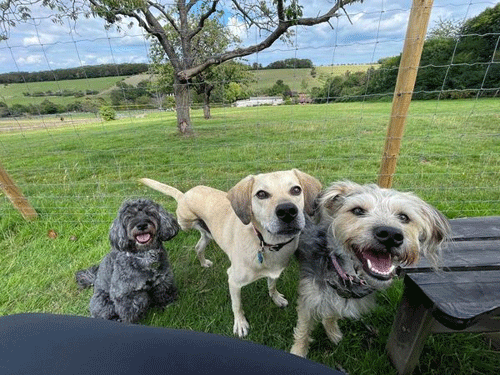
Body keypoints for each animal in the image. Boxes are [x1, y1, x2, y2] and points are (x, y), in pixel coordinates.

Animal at [141, 170, 320, 338]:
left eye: (296, 190)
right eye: (261, 194)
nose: (287, 211)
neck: (266, 242)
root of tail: (184, 195)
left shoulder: (274, 272)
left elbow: (272, 285)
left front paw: (276, 297)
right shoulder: (233, 280)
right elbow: (237, 305)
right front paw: (240, 324)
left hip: (208, 235)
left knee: (199, 246)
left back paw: (203, 261)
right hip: (184, 222)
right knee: (181, 226)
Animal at [290, 182, 450, 358]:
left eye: (404, 217)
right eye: (358, 211)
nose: (390, 234)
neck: (343, 273)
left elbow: (331, 313)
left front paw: (332, 332)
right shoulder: (308, 300)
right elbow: (303, 330)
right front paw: (298, 352)